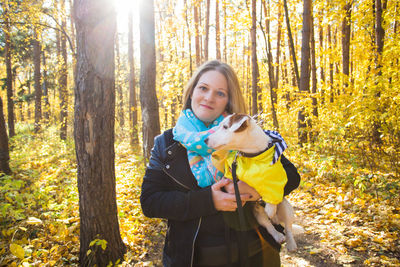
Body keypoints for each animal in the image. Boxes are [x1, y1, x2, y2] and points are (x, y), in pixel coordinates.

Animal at [206, 114, 296, 252]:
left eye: (225, 127)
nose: (205, 140)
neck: (251, 156)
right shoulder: (230, 177)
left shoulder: (276, 177)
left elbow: (272, 194)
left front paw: (270, 208)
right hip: (258, 214)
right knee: (269, 225)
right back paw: (278, 235)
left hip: (287, 207)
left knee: (288, 227)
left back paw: (291, 243)